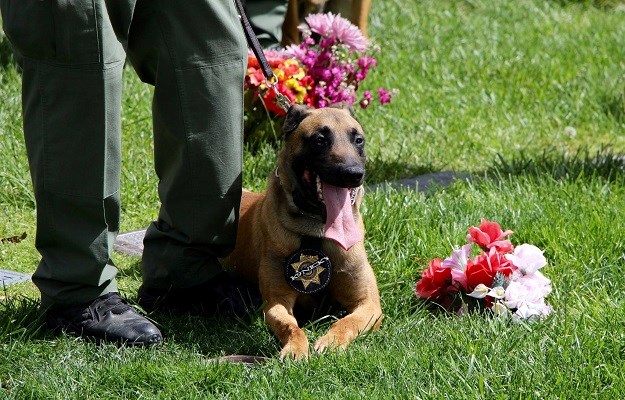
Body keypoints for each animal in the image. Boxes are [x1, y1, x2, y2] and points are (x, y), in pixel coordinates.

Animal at [224, 104, 380, 360]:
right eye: (319, 140)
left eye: (358, 140)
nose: (353, 173)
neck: (317, 232)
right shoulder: (276, 302)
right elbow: (290, 326)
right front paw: (295, 348)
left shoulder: (368, 304)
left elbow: (347, 322)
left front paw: (331, 341)